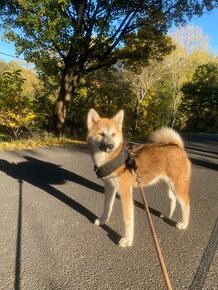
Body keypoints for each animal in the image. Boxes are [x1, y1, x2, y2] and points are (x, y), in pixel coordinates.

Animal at [87, 109, 191, 247]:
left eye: (113, 134)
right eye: (102, 134)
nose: (110, 146)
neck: (111, 159)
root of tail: (177, 146)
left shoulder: (125, 192)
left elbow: (128, 219)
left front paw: (128, 240)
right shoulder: (109, 187)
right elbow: (107, 207)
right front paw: (103, 220)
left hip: (178, 186)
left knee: (186, 205)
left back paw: (184, 224)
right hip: (165, 185)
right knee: (172, 199)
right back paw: (167, 215)